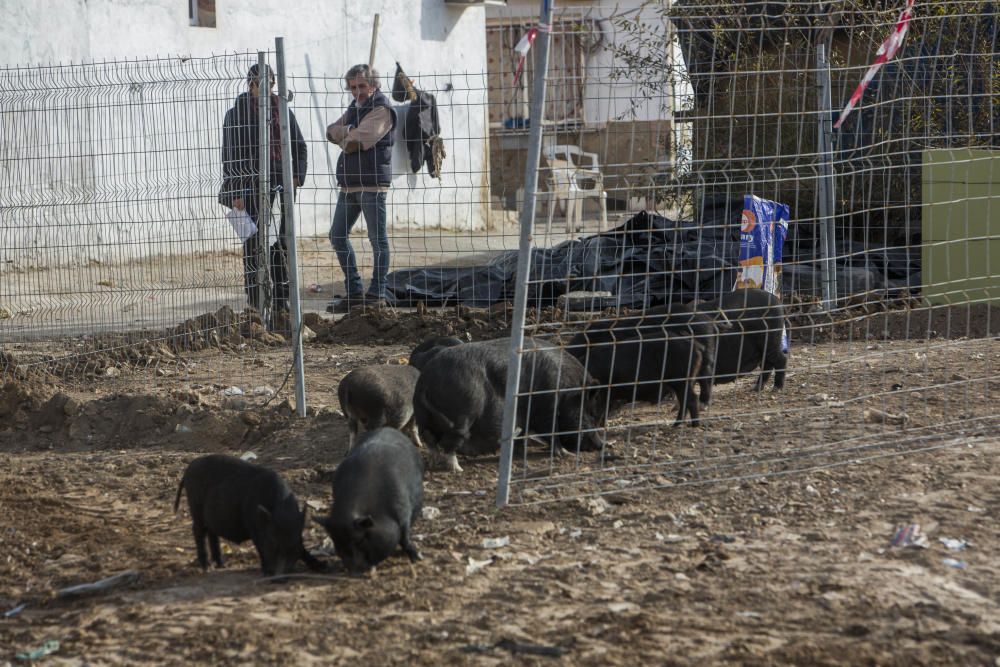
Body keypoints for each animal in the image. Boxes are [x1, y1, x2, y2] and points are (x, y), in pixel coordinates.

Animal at [312, 428, 422, 576]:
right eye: (336, 541)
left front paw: (417, 558)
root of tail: (389, 428)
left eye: (359, 540)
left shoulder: (402, 512)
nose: (353, 570)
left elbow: (404, 537)